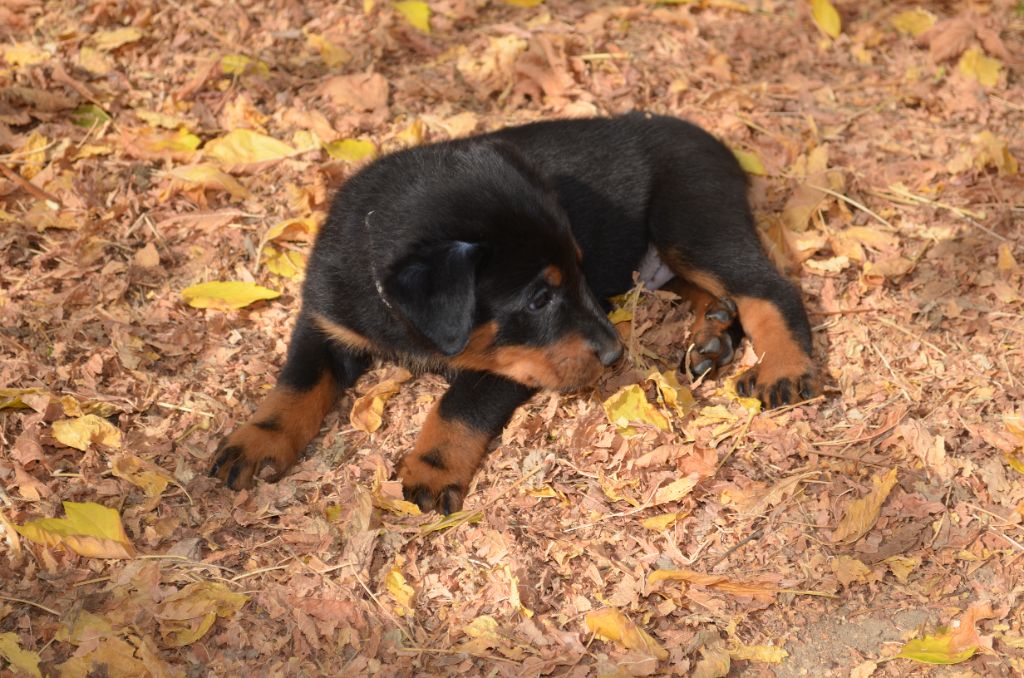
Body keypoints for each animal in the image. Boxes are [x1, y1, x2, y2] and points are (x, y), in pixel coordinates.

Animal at [211, 111, 819, 516]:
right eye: (539, 298)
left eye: (575, 273)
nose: (614, 355)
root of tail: (718, 145)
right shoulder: (324, 320)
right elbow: (295, 383)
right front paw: (257, 441)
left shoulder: (510, 363)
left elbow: (460, 405)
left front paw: (432, 468)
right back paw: (711, 332)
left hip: (691, 218)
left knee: (770, 288)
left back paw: (784, 368)